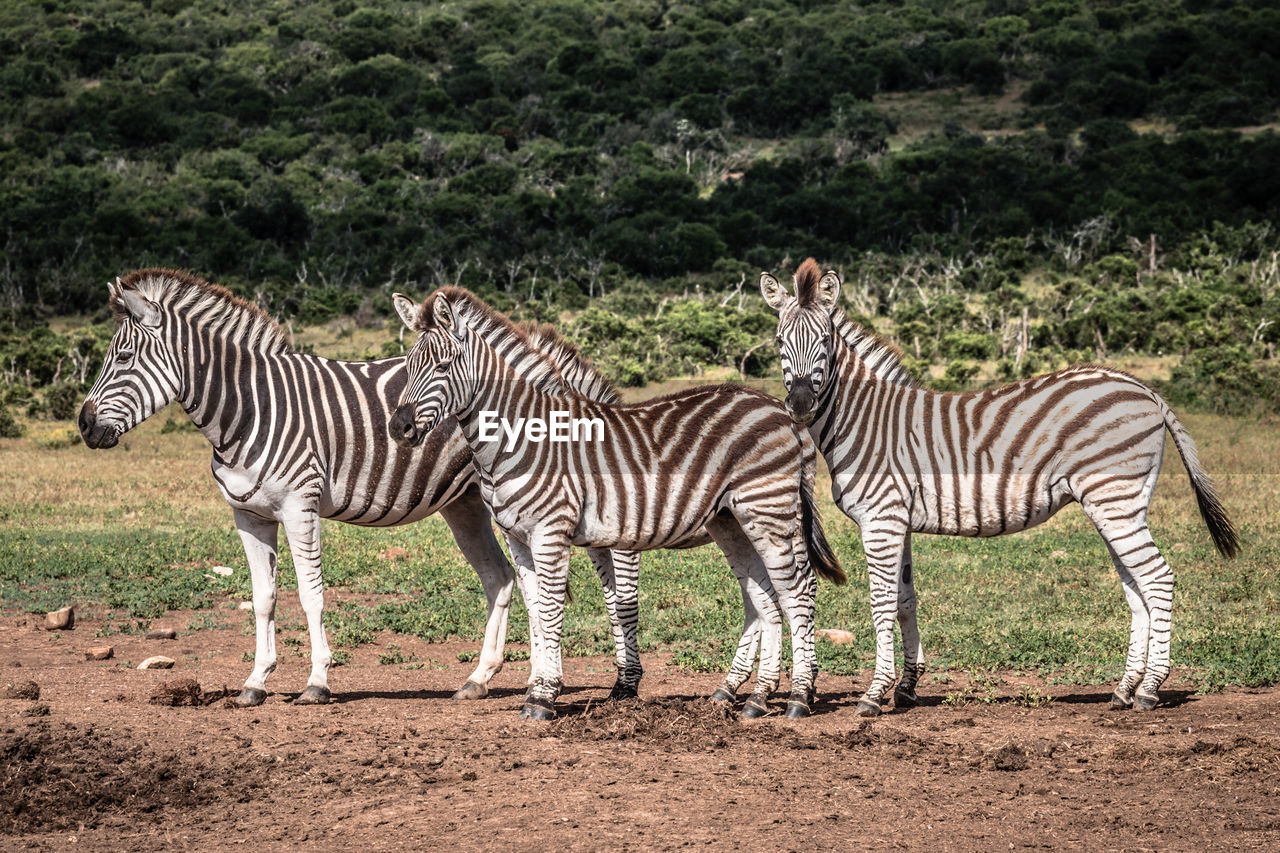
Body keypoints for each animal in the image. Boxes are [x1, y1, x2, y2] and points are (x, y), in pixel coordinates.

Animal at [78, 270, 645, 701]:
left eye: (122, 359)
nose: (83, 426)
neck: (248, 408)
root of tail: (550, 377)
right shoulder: (248, 513)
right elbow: (263, 597)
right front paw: (256, 682)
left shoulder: (299, 505)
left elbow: (310, 595)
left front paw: (316, 682)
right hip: (465, 503)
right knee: (505, 580)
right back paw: (483, 679)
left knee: (569, 578)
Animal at [386, 285, 849, 717]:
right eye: (408, 367)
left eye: (443, 366)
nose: (399, 427)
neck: (521, 436)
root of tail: (780, 408)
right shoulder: (519, 537)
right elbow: (536, 611)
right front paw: (539, 687)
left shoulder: (557, 533)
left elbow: (562, 610)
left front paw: (545, 696)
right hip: (733, 522)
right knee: (765, 599)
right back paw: (750, 696)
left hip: (770, 513)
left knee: (796, 593)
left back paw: (798, 697)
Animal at [757, 257, 1239, 712]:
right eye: (780, 342)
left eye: (824, 340)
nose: (800, 405)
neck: (863, 418)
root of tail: (1141, 386)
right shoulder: (898, 522)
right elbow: (906, 599)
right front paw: (908, 686)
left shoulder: (881, 520)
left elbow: (881, 601)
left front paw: (875, 693)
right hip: (1116, 505)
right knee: (1137, 589)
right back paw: (1124, 689)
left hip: (1114, 499)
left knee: (1157, 579)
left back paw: (1150, 689)